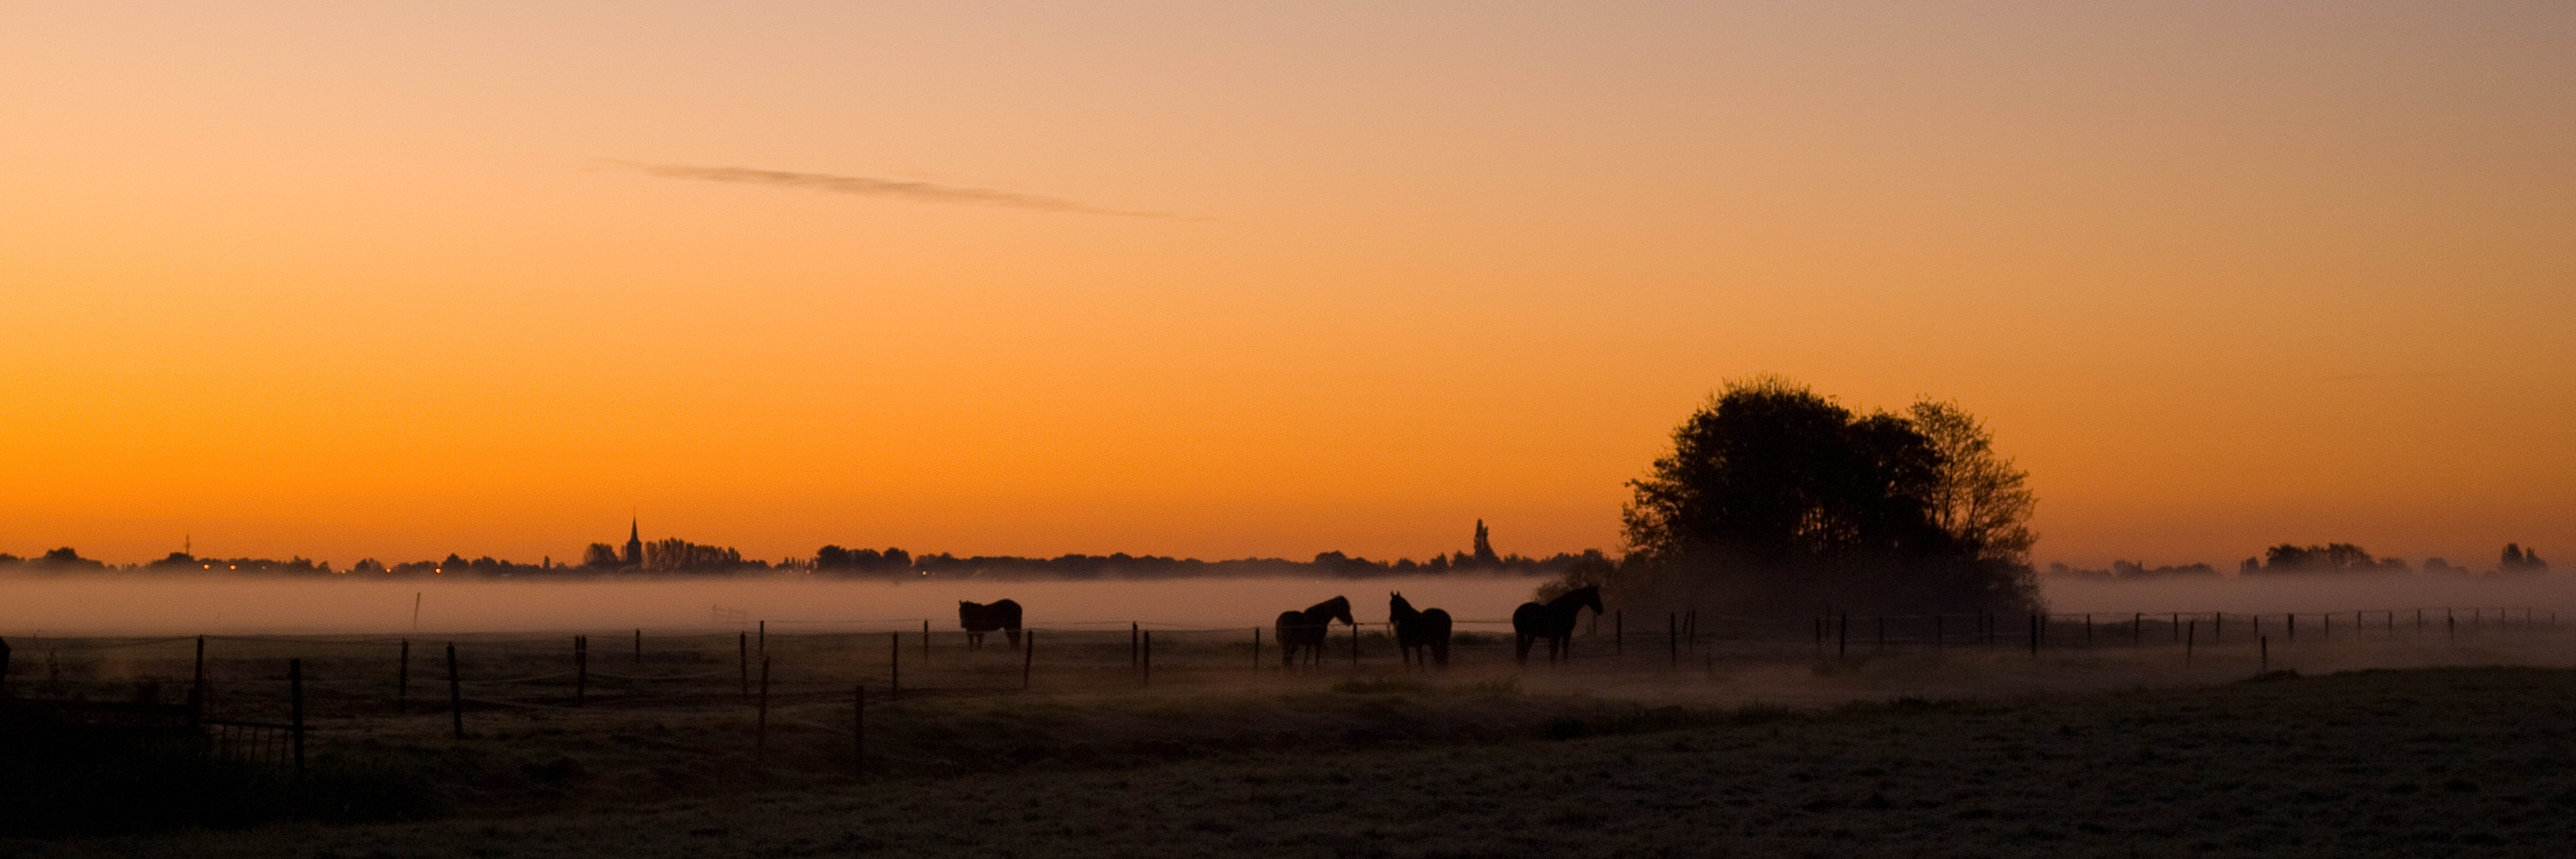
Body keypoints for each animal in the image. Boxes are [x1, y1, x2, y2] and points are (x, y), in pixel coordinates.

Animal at [958, 596, 1025, 650]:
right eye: (960, 611)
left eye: (967, 612)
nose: (963, 625)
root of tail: (1019, 606)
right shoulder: (970, 632)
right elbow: (971, 643)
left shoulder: (980, 632)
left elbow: (979, 643)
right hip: (1009, 627)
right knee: (1012, 637)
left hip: (1014, 625)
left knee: (1016, 636)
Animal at [1278, 593, 1360, 666]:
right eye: (1344, 608)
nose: (1350, 621)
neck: (1318, 618)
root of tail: (1281, 619)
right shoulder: (1318, 642)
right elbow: (1315, 659)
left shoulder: (1309, 643)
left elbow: (1306, 659)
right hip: (1290, 643)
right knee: (1287, 659)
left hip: (1288, 643)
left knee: (1287, 659)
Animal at [1391, 593, 1453, 666]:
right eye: (1390, 604)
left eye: (1398, 605)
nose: (1392, 619)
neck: (1409, 622)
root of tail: (1447, 615)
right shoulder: (1405, 647)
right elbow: (1407, 663)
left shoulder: (1418, 645)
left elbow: (1420, 661)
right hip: (1434, 642)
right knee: (1438, 655)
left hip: (1444, 640)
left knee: (1444, 654)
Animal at [1504, 586, 1597, 666]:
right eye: (1593, 596)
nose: (1600, 610)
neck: (1565, 611)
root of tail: (1517, 612)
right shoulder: (1559, 635)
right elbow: (1555, 652)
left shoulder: (1562, 635)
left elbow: (1559, 652)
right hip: (1522, 634)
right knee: (1522, 650)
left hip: (1530, 635)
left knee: (1524, 650)